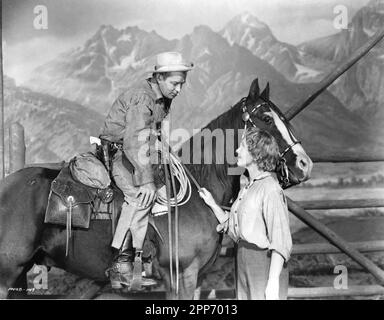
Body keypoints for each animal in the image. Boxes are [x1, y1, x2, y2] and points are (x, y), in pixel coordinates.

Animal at [0, 79, 312, 298]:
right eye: (267, 119)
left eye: (286, 119)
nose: (304, 164)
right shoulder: (181, 275)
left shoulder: (194, 277)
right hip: (7, 273)